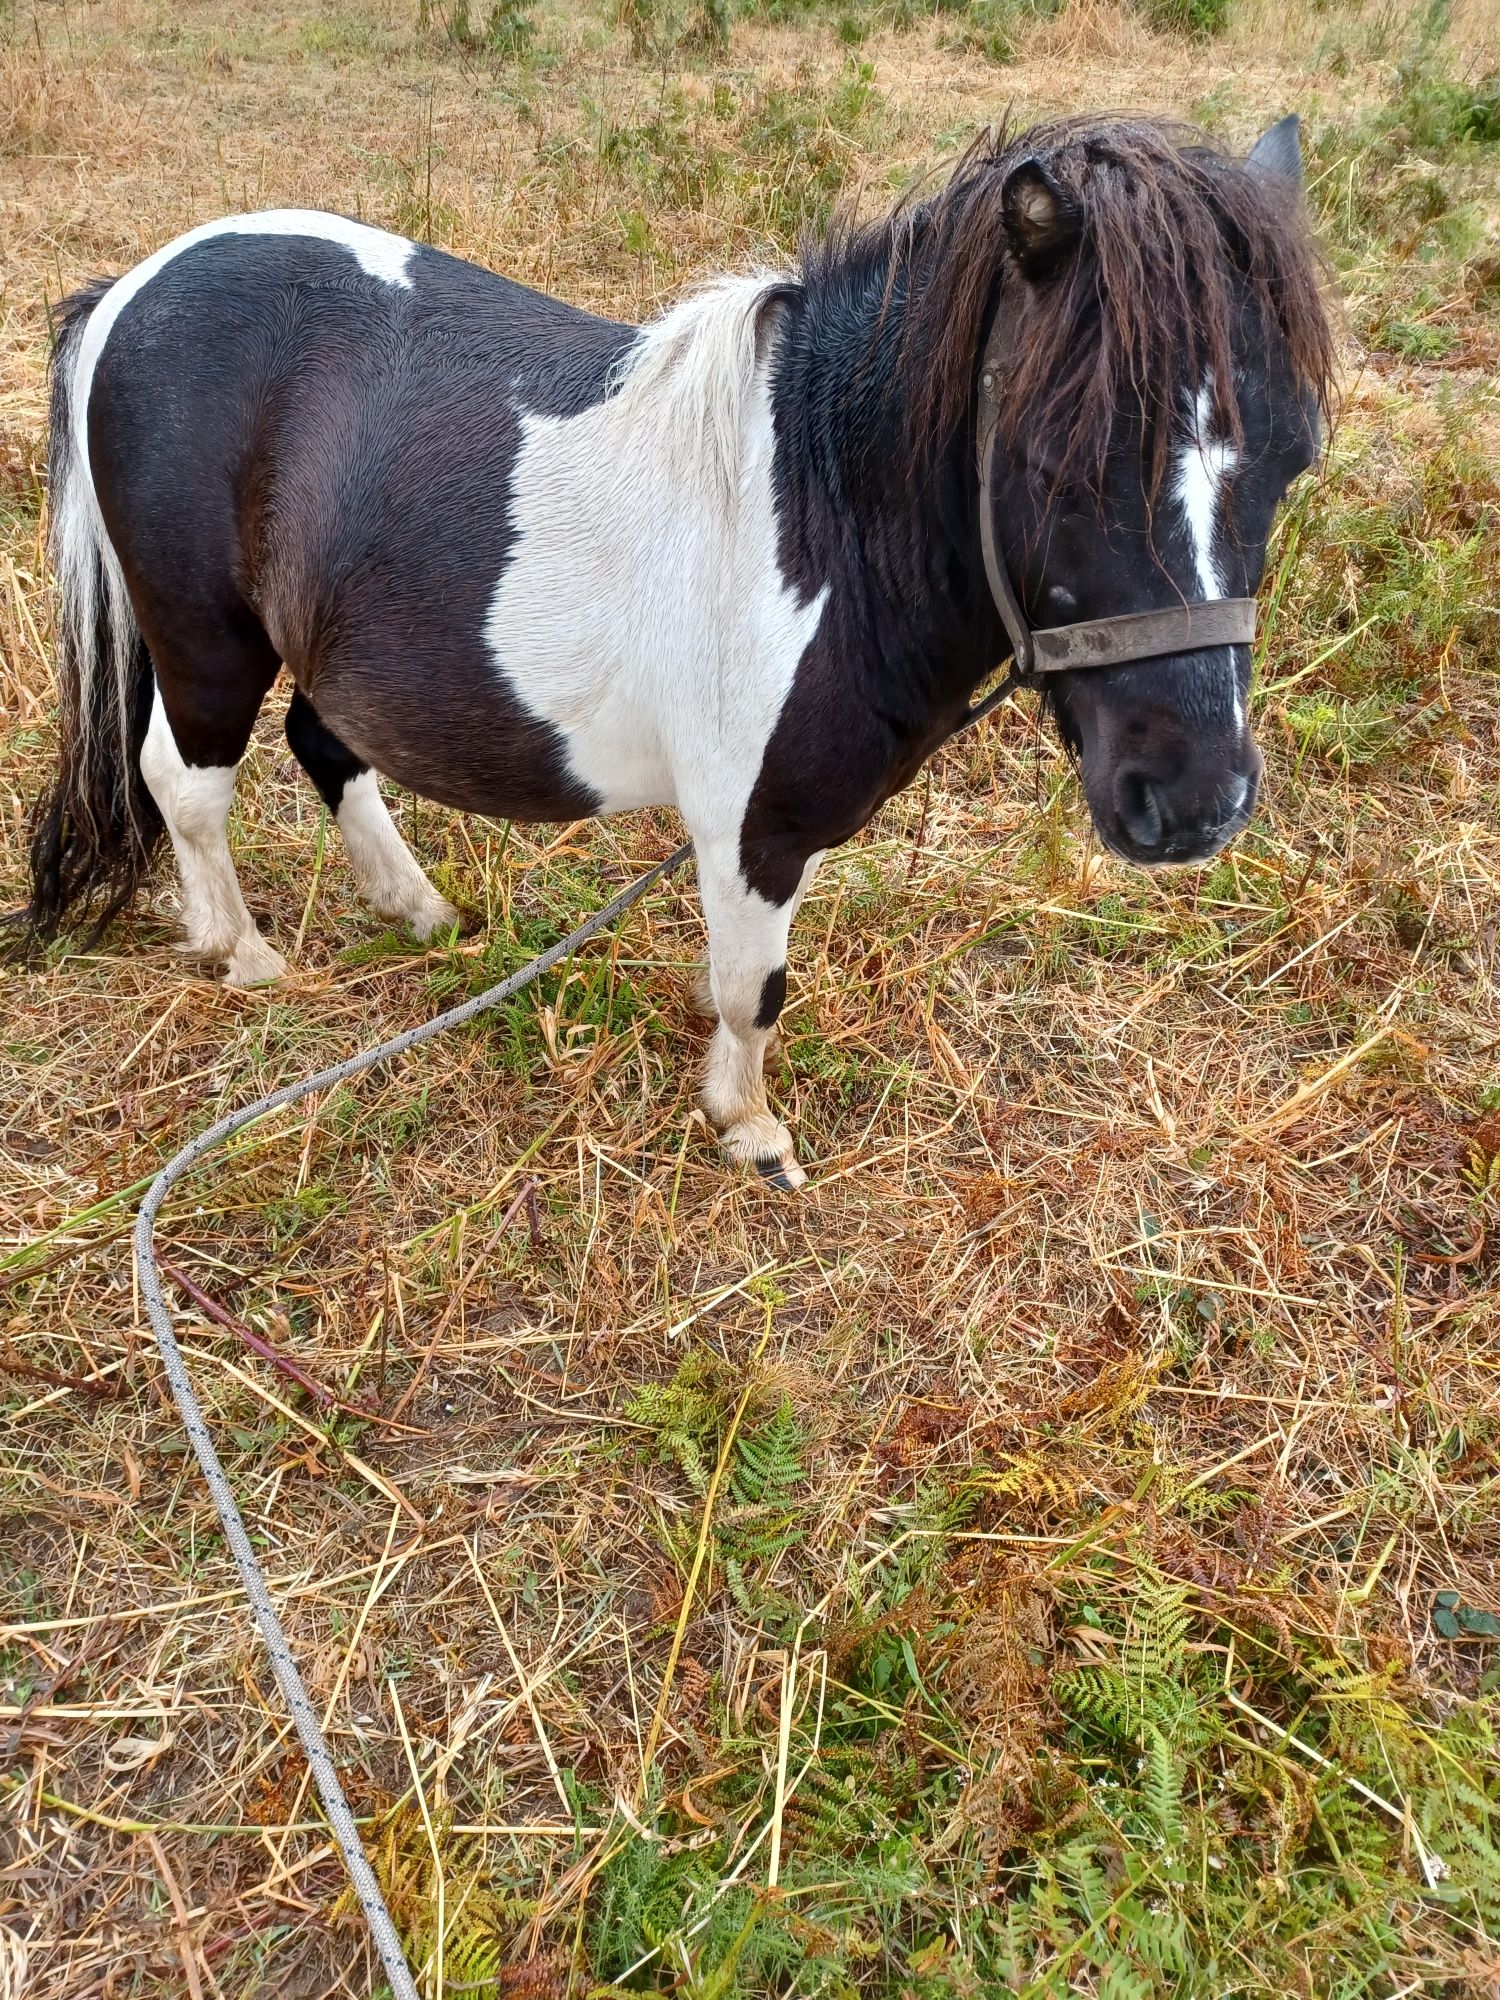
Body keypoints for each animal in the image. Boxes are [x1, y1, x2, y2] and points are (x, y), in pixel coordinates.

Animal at [20, 109, 1336, 1184]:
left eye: (1296, 456)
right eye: (1061, 456)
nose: (1198, 802)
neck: (827, 514)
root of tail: (132, 289)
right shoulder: (751, 827)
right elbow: (755, 990)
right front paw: (746, 1126)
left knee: (325, 742)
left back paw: (419, 909)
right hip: (207, 638)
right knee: (185, 782)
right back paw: (242, 955)